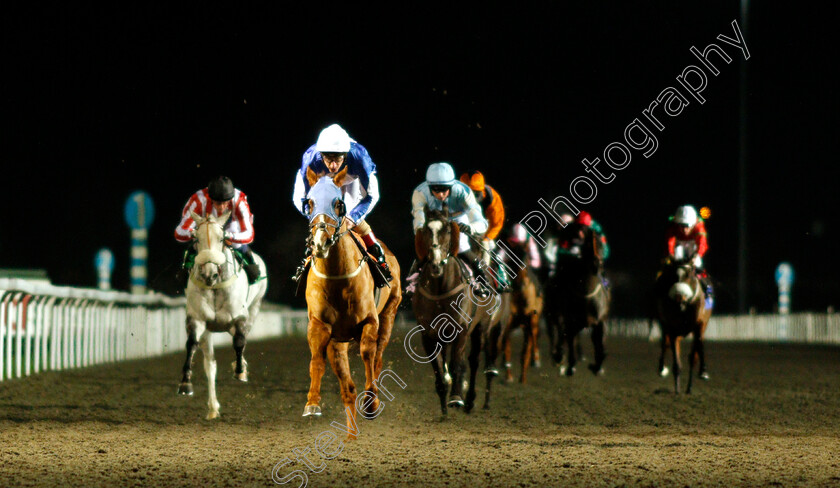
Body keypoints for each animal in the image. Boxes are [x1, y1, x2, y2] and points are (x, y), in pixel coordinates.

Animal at [302, 166, 400, 436]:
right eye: (309, 202)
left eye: (338, 203)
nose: (320, 242)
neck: (338, 277)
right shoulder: (319, 325)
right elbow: (316, 360)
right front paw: (312, 403)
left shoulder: (370, 321)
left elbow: (368, 354)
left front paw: (371, 403)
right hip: (339, 340)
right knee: (345, 380)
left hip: (389, 314)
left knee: (378, 356)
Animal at [544, 224, 612, 378]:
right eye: (588, 245)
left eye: (600, 244)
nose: (596, 264)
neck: (588, 295)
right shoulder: (570, 320)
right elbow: (569, 339)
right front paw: (570, 366)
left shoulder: (600, 320)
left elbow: (601, 347)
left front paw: (597, 367)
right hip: (554, 314)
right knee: (558, 333)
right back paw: (559, 356)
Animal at [656, 255, 708, 392]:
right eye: (673, 275)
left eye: (689, 274)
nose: (679, 296)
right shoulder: (672, 329)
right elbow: (676, 362)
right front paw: (677, 390)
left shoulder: (698, 325)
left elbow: (696, 350)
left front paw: (702, 373)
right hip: (665, 325)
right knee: (665, 344)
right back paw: (662, 369)